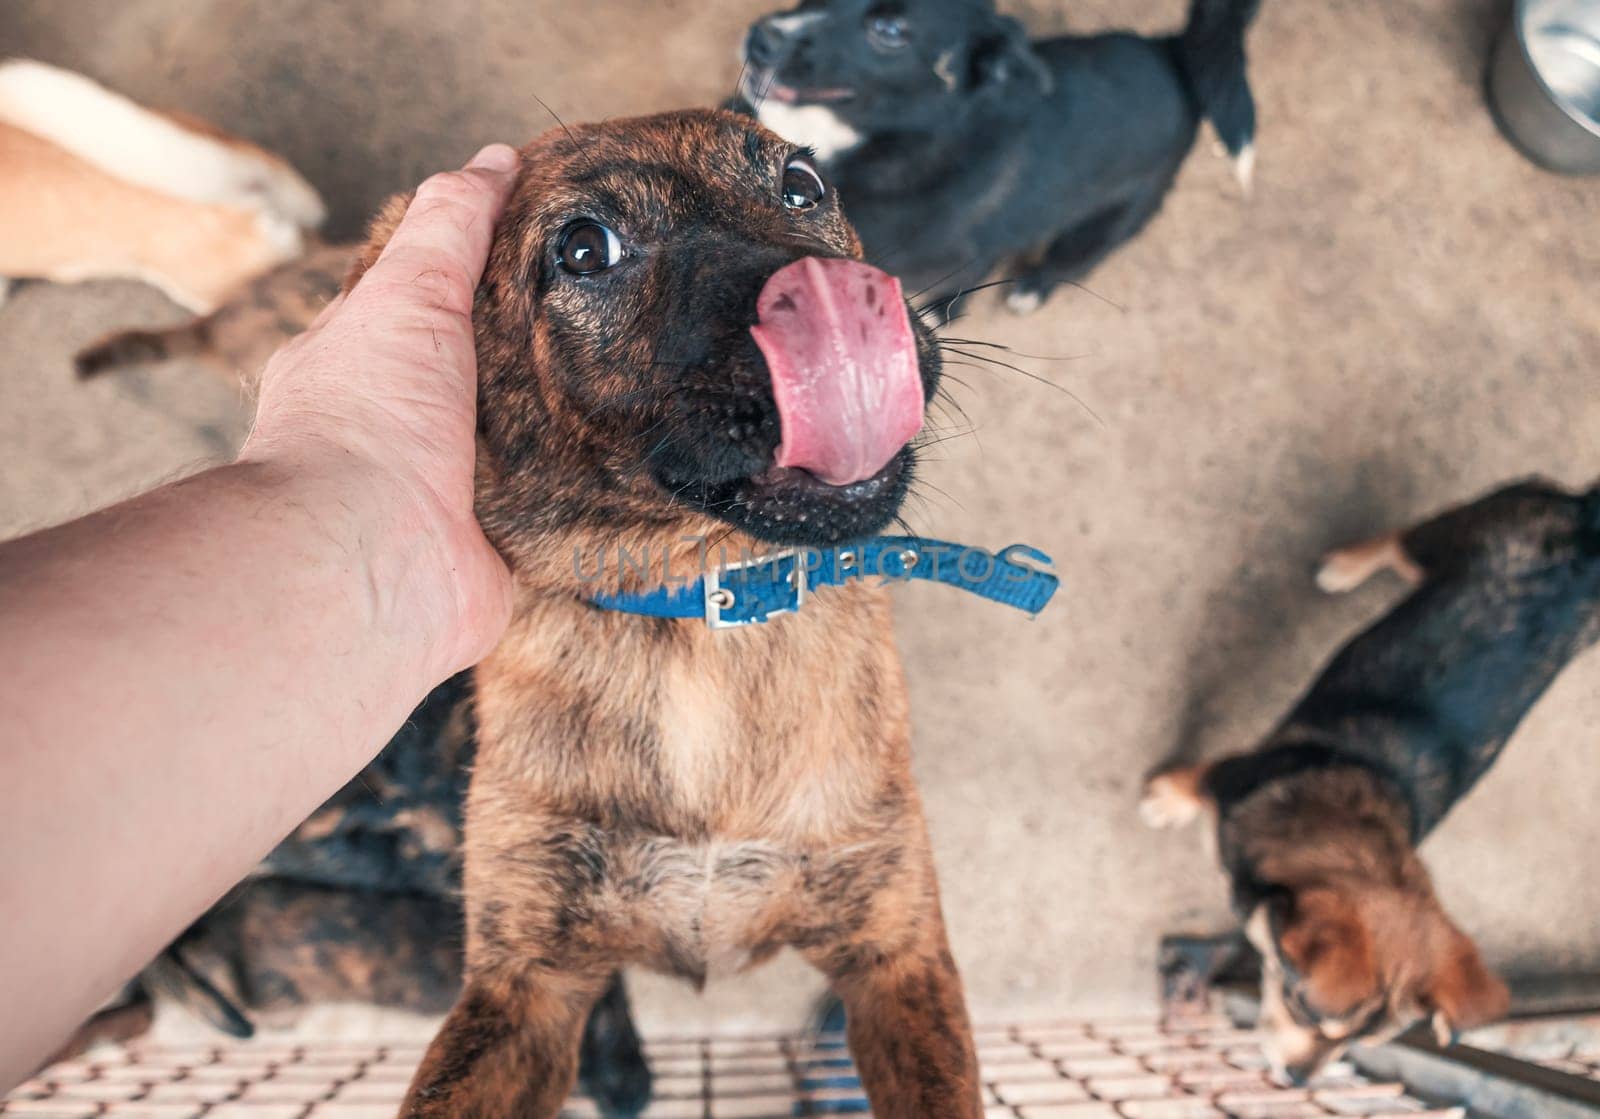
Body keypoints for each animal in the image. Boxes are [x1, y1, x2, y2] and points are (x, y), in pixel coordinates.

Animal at [347, 111, 998, 1119]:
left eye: (803, 184)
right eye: (584, 249)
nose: (853, 304)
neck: (699, 613)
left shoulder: (898, 951)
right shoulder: (521, 989)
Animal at [729, 0, 1260, 310]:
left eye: (891, 29)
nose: (759, 37)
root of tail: (1175, 54)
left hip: (1113, 219)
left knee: (1072, 258)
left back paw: (1030, 290)